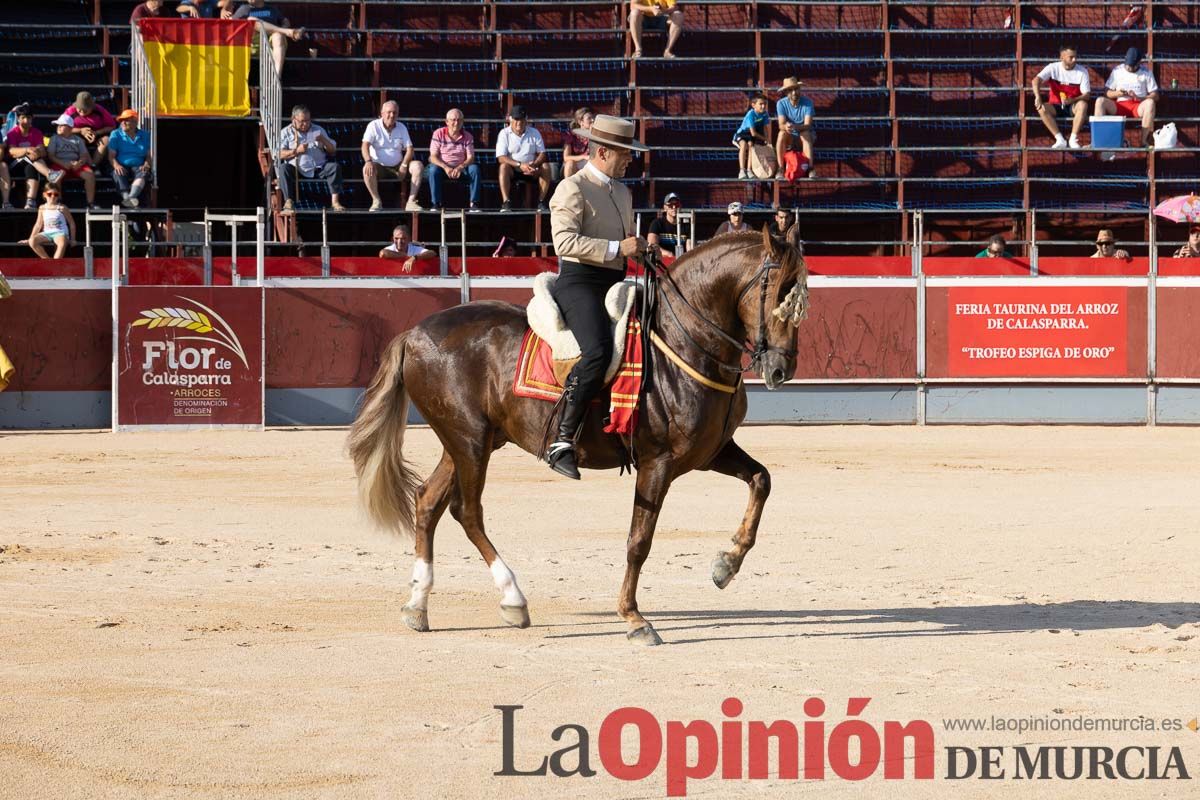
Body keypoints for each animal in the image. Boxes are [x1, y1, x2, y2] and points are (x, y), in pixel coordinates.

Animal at [350, 224, 811, 642]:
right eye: (778, 295)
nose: (780, 370)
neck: (682, 342)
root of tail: (414, 332)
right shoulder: (657, 462)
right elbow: (639, 540)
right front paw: (634, 618)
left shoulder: (711, 452)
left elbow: (761, 480)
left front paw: (725, 565)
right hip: (470, 441)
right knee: (467, 511)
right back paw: (513, 599)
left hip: (467, 441)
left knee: (428, 501)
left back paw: (418, 606)